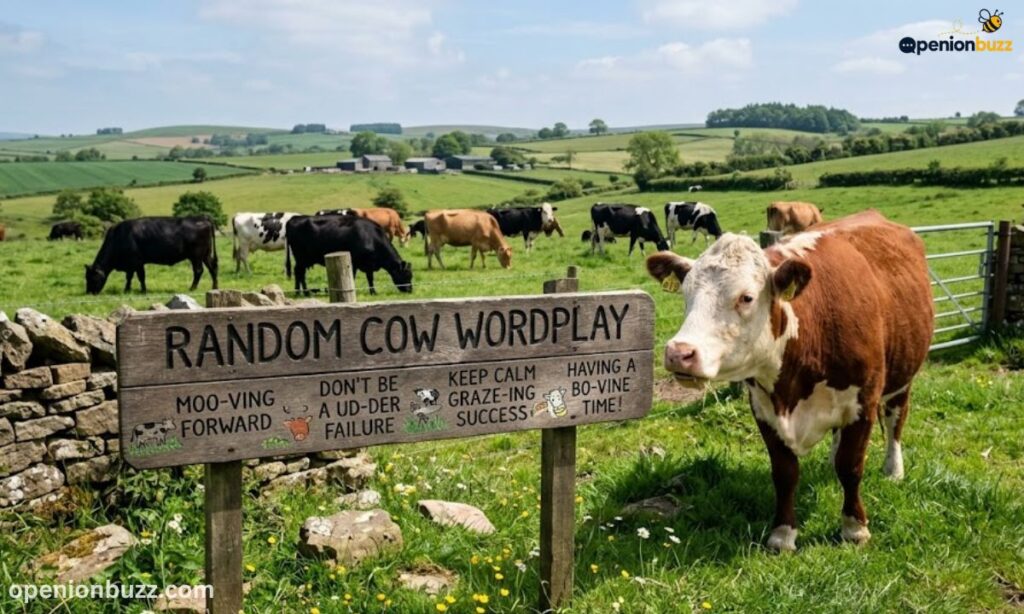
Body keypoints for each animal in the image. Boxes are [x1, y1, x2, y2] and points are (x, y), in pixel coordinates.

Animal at [85, 217, 218, 295]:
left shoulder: (137, 262)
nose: (88, 293)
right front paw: (127, 290)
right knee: (212, 268)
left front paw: (143, 291)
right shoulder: (132, 265)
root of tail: (203, 219)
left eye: (91, 278)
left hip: (196, 256)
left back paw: (192, 288)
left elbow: (140, 277)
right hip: (206, 254)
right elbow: (130, 277)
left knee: (198, 271)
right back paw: (214, 287)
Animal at [645, 210, 933, 551]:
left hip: (903, 375)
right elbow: (785, 473)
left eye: (746, 297)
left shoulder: (864, 400)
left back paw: (893, 469)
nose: (679, 353)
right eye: (686, 295)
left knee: (894, 420)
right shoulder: (764, 408)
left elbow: (851, 466)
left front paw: (854, 528)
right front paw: (783, 534)